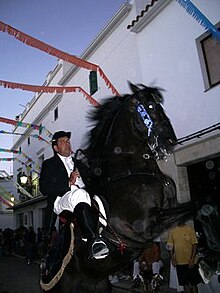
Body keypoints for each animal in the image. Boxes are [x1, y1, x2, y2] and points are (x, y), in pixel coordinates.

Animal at [40, 82, 219, 292]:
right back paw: (97, 245)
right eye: (150, 106)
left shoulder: (169, 211)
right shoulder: (146, 224)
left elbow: (203, 204)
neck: (130, 169)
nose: (169, 141)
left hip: (101, 285)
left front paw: (211, 256)